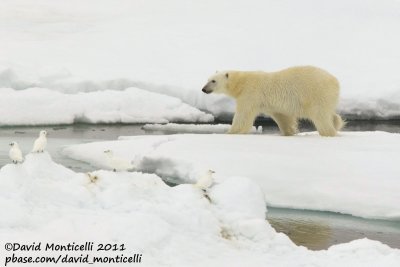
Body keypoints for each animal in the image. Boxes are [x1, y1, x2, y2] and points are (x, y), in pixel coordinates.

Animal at [203, 66, 344, 137]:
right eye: (208, 79)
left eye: (213, 81)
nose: (203, 89)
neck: (241, 83)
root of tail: (335, 81)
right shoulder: (271, 104)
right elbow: (282, 116)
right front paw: (289, 131)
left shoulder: (250, 94)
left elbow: (243, 115)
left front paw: (231, 132)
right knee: (330, 114)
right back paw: (336, 123)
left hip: (316, 93)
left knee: (320, 115)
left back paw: (328, 132)